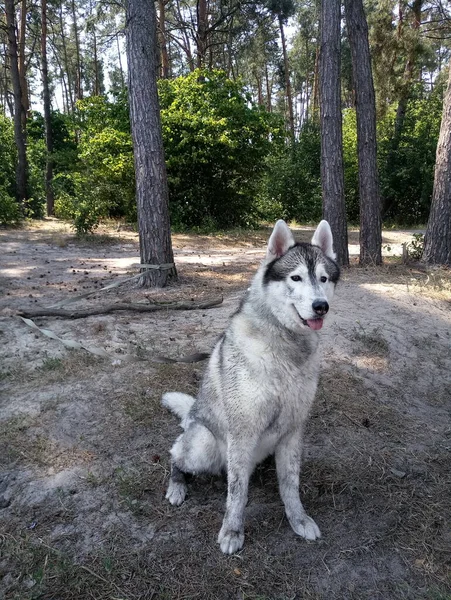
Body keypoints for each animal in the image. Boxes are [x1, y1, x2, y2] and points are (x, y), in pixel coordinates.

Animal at [161, 220, 340, 552]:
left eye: (323, 279)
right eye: (296, 277)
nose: (321, 306)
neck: (285, 347)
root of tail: (191, 415)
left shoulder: (293, 431)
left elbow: (290, 484)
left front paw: (298, 519)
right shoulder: (242, 432)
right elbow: (236, 492)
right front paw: (232, 530)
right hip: (204, 445)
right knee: (175, 456)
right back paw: (177, 486)